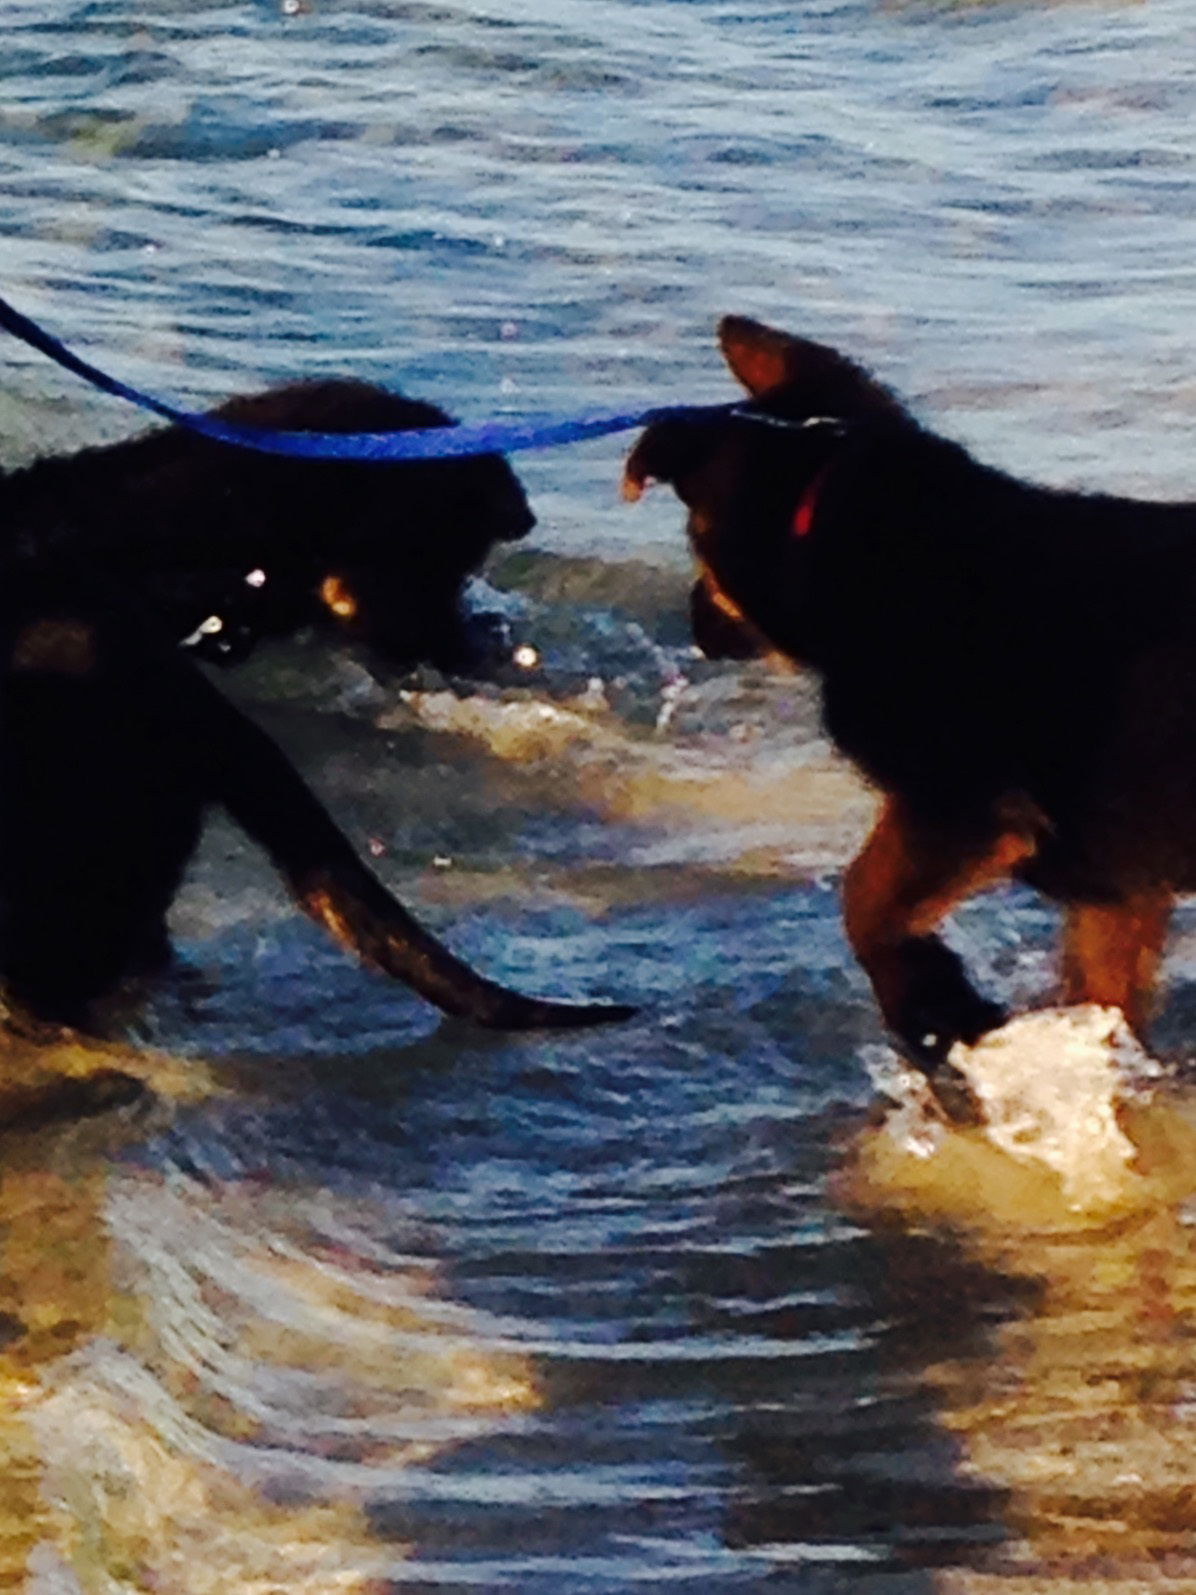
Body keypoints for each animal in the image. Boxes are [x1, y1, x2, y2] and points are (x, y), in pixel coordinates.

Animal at [621, 314, 1192, 1110]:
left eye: (695, 543)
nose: (697, 625)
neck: (834, 515)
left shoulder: (959, 811)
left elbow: (863, 903)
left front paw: (941, 1013)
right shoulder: (1117, 885)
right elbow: (1104, 998)